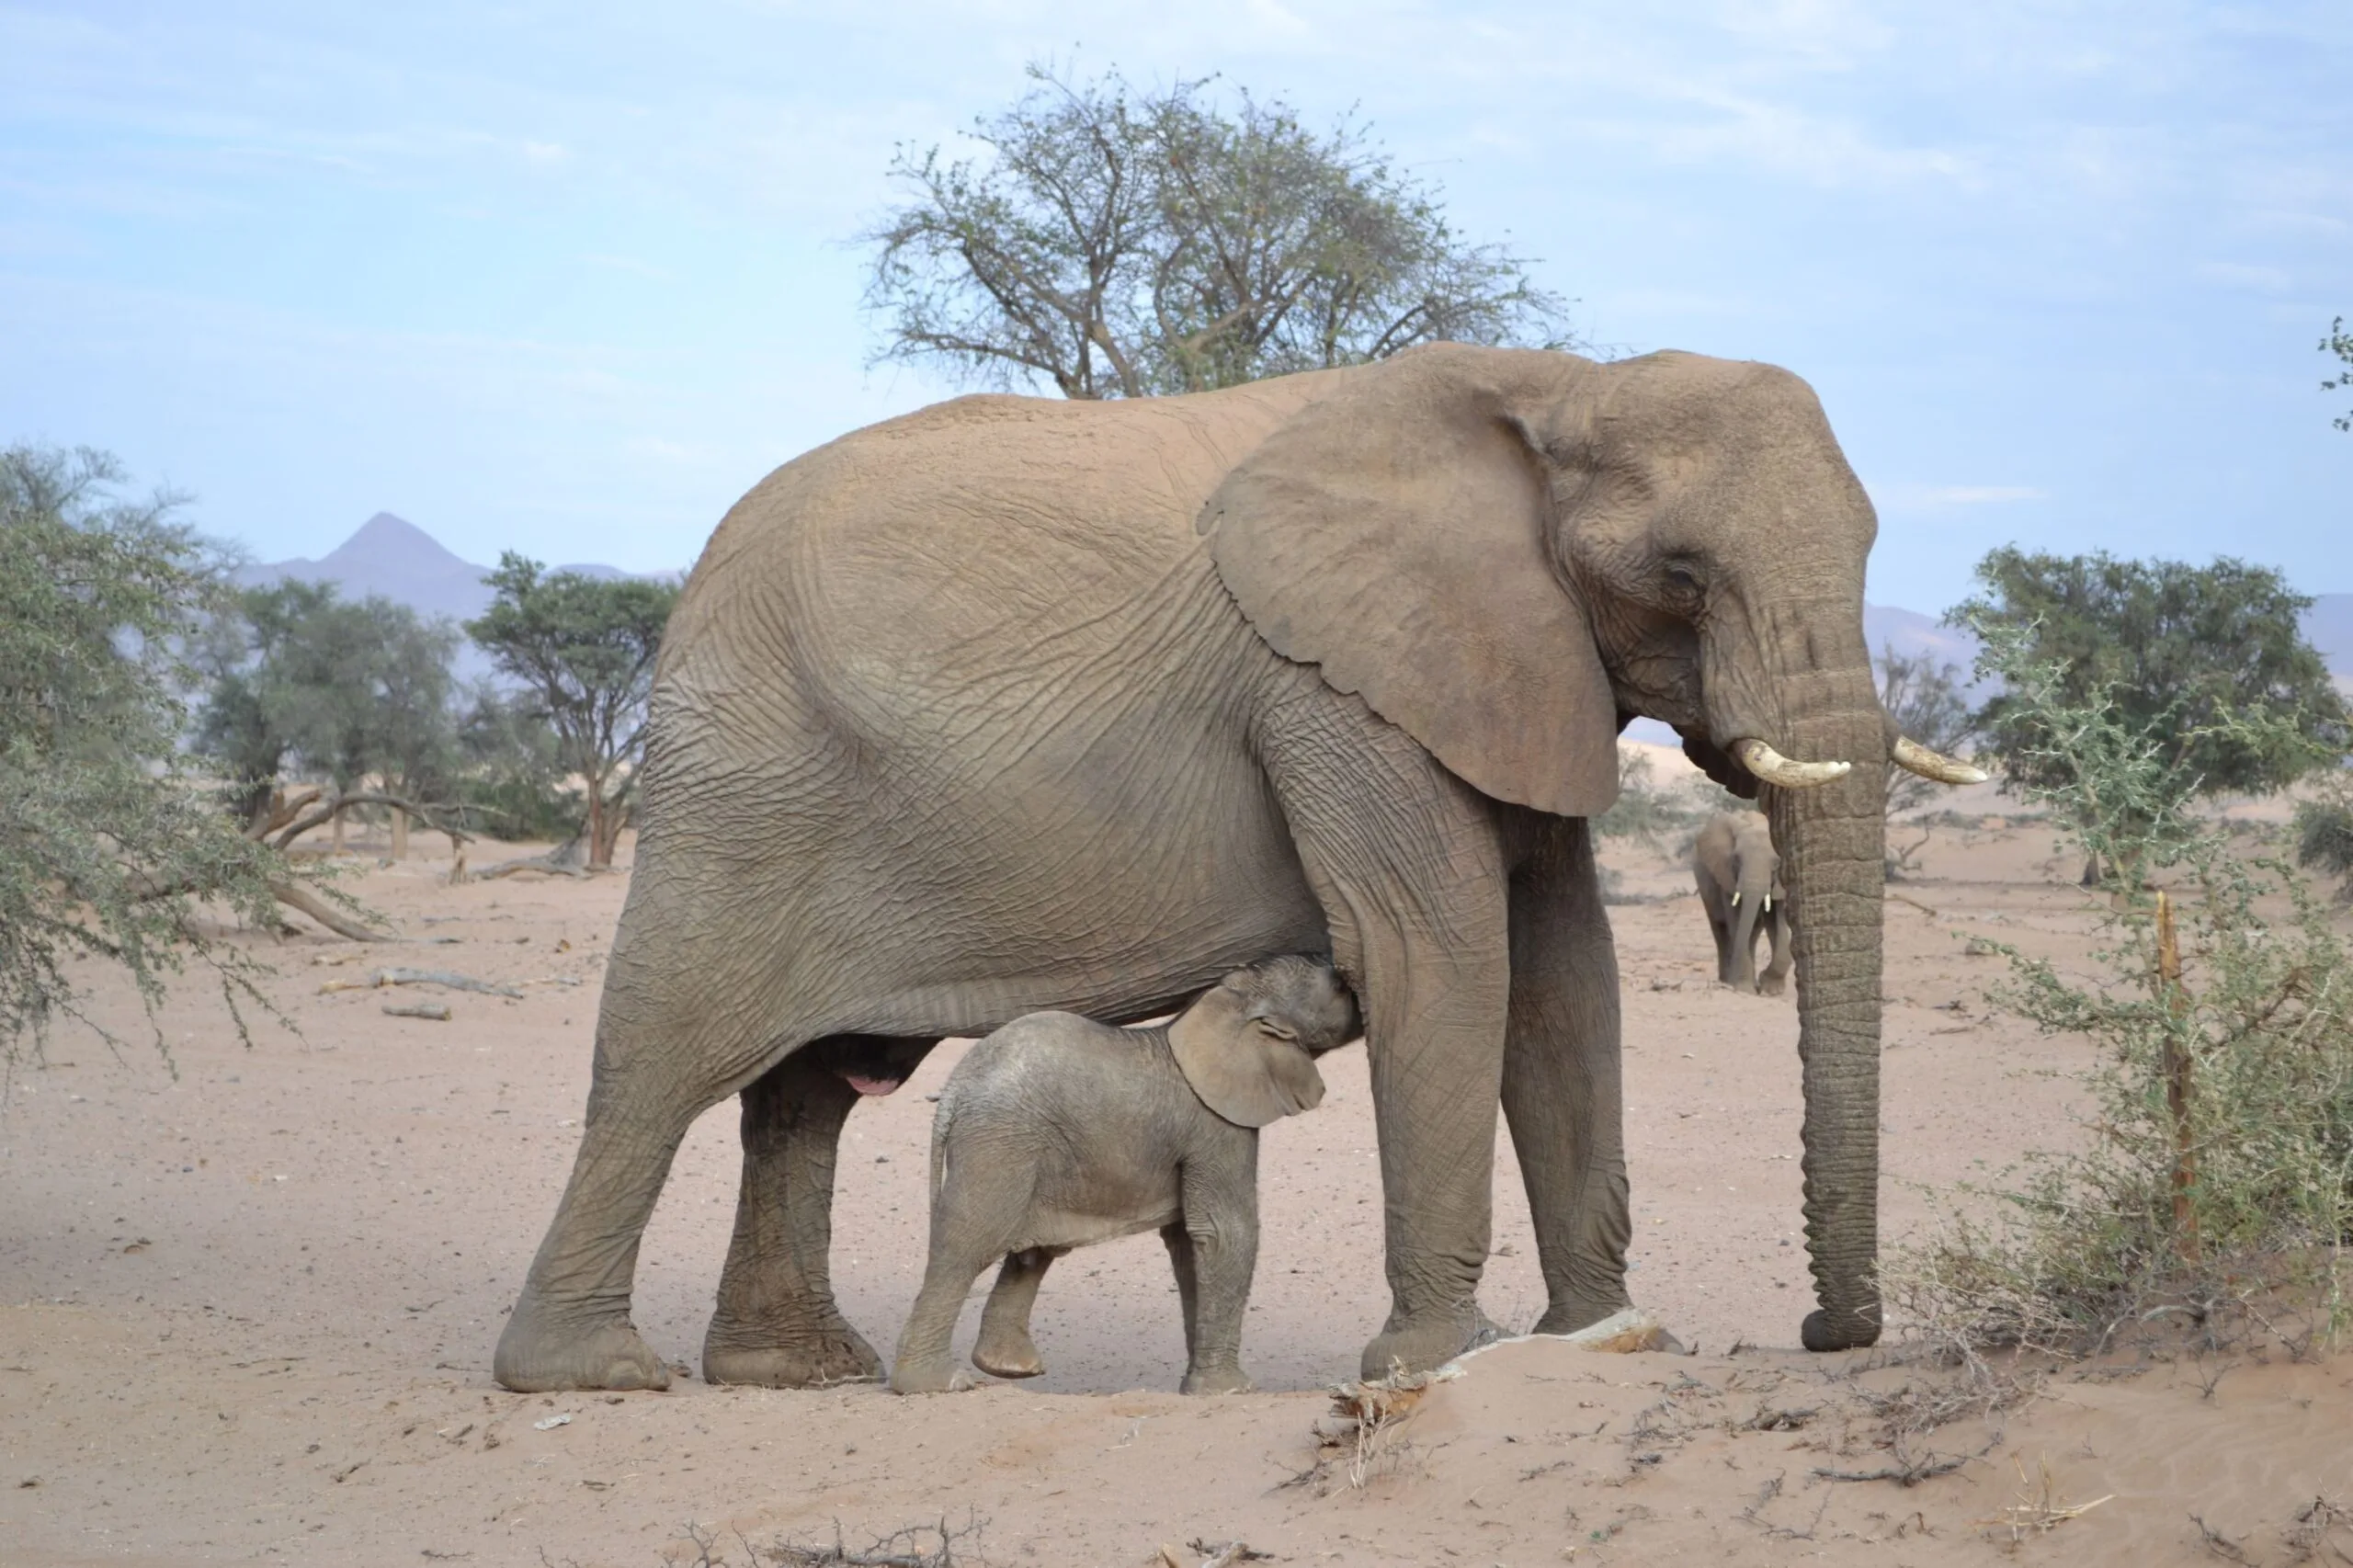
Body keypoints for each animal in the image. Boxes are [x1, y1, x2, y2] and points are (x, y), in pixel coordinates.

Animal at [889, 954, 1361, 1396]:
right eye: (1339, 986)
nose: (1350, 978)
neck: (1223, 1004)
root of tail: (954, 1092)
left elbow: (1188, 1242)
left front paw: (1196, 1385)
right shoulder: (1216, 1125)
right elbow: (1223, 1233)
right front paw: (1231, 1390)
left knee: (1032, 1251)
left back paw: (1006, 1368)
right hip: (1001, 1141)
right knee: (971, 1241)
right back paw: (936, 1383)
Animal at [1691, 811, 1792, 995]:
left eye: (1777, 863)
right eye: (1737, 859)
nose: (1733, 982)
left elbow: (1777, 921)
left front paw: (1770, 989)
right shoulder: (1726, 874)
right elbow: (1736, 919)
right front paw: (1745, 988)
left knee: (1753, 932)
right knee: (1721, 930)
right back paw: (1726, 980)